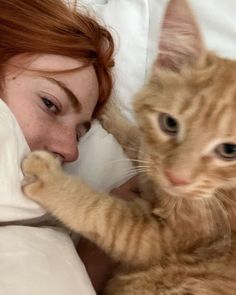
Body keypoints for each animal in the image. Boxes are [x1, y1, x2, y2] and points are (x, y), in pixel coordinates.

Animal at [21, 1, 236, 294]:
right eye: (169, 124)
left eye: (229, 151)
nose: (176, 177)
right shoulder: (149, 157)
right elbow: (135, 138)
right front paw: (111, 110)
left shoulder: (157, 236)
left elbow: (102, 213)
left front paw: (50, 179)